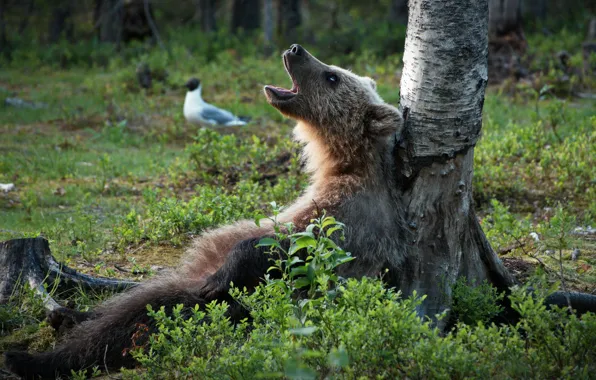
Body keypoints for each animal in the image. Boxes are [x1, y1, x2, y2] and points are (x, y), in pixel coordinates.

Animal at [4, 43, 406, 378]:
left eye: (332, 75)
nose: (296, 49)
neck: (338, 164)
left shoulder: (347, 220)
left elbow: (290, 250)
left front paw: (227, 271)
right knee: (131, 300)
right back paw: (67, 316)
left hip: (222, 308)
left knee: (140, 319)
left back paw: (31, 358)